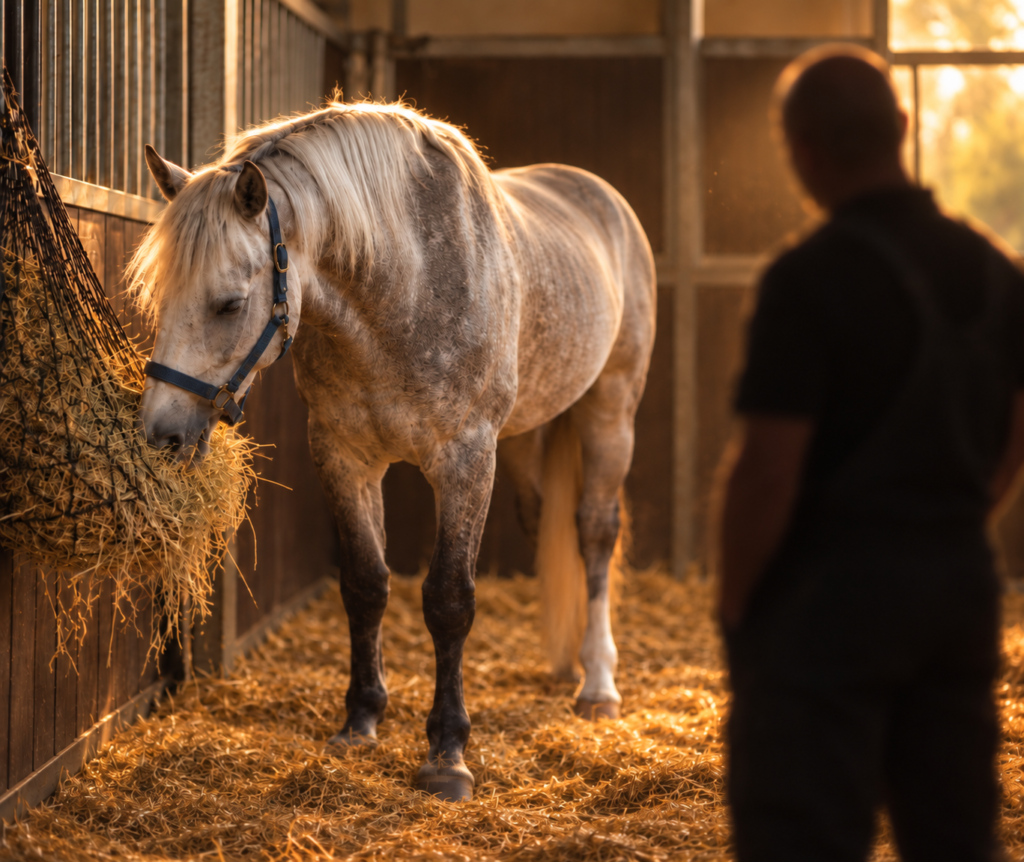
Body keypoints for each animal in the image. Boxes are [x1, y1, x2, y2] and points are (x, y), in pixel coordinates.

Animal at [131, 100, 656, 801]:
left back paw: (597, 684)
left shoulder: (465, 461)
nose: (162, 433)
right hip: (527, 435)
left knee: (595, 534)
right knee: (548, 523)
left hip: (610, 411)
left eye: (230, 303)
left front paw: (447, 753)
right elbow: (365, 584)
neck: (403, 287)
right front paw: (360, 720)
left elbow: (449, 600)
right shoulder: (344, 457)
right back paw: (564, 662)